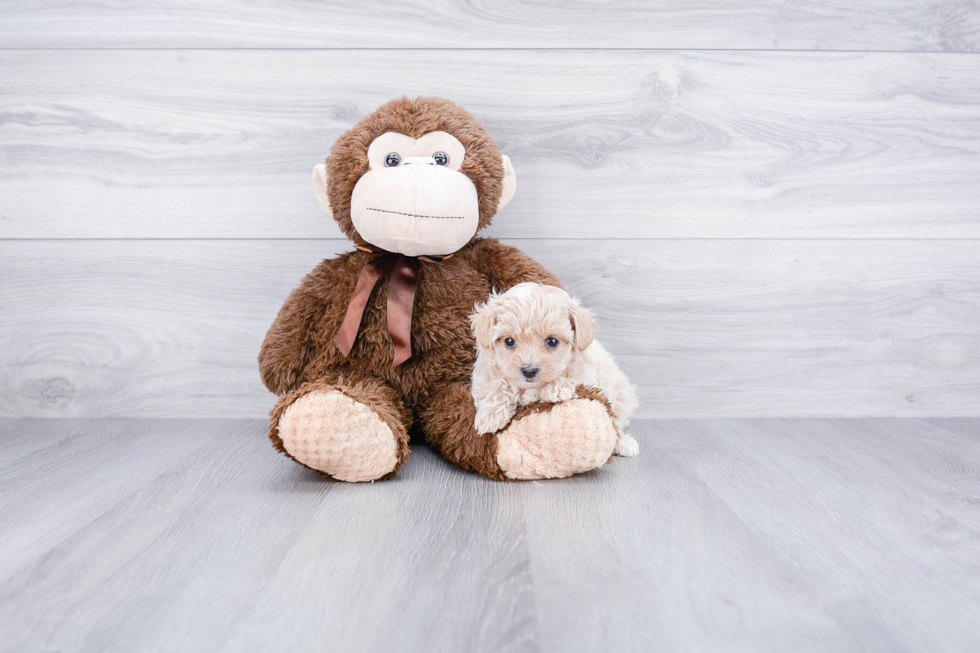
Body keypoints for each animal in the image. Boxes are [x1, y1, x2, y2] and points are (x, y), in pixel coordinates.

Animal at [468, 282, 640, 456]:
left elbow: (571, 381)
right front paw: (491, 415)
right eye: (509, 341)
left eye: (552, 341)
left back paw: (625, 443)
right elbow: (497, 385)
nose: (529, 371)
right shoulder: (487, 371)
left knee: (616, 421)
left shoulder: (587, 376)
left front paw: (555, 389)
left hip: (621, 395)